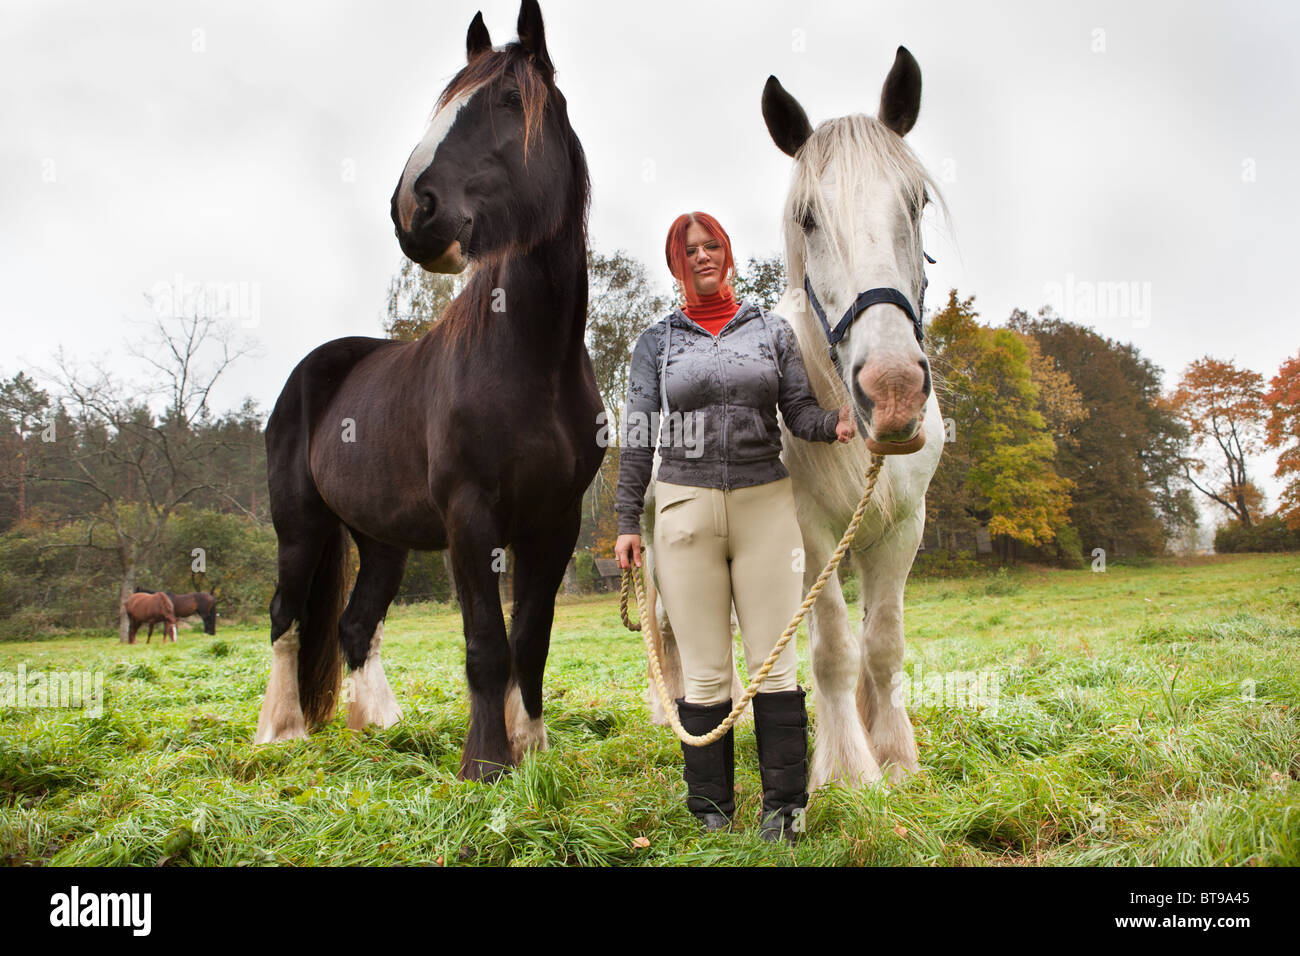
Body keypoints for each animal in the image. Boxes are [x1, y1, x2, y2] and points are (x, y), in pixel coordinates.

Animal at [256, 0, 605, 785]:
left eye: (507, 100)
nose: (412, 208)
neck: (533, 358)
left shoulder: (555, 521)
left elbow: (530, 639)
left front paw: (531, 748)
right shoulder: (469, 517)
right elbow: (486, 644)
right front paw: (486, 765)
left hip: (379, 538)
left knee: (355, 622)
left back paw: (378, 725)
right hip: (301, 526)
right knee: (286, 616)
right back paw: (281, 733)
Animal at [642, 46, 941, 790]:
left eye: (916, 201)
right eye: (807, 217)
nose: (892, 388)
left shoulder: (901, 532)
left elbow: (883, 644)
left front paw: (895, 756)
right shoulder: (808, 537)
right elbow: (833, 647)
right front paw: (848, 770)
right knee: (678, 632)